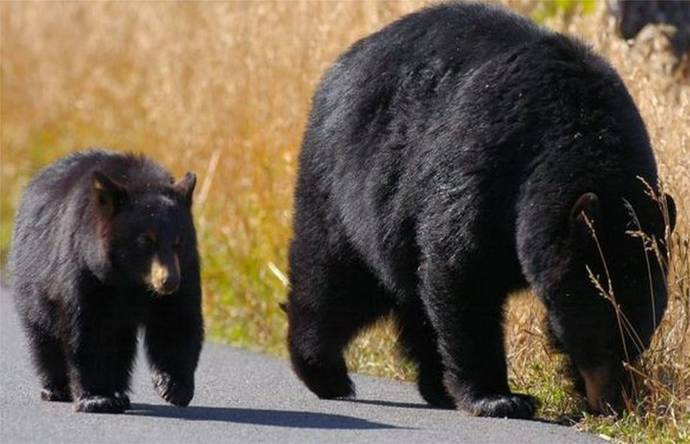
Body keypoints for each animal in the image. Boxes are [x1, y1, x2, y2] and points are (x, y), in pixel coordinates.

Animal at [8, 149, 202, 412]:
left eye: (178, 242)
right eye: (146, 240)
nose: (169, 281)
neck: (130, 279)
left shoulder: (186, 269)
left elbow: (177, 320)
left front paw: (173, 386)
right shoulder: (85, 269)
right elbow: (90, 328)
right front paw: (98, 398)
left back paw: (119, 392)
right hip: (33, 282)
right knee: (43, 335)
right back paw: (57, 388)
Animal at [282, 3, 676, 418]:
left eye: (642, 332)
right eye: (600, 330)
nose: (613, 401)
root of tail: (340, 65)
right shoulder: (487, 169)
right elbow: (464, 272)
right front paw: (500, 397)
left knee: (414, 300)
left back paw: (436, 385)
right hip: (345, 184)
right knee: (336, 277)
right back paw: (324, 371)